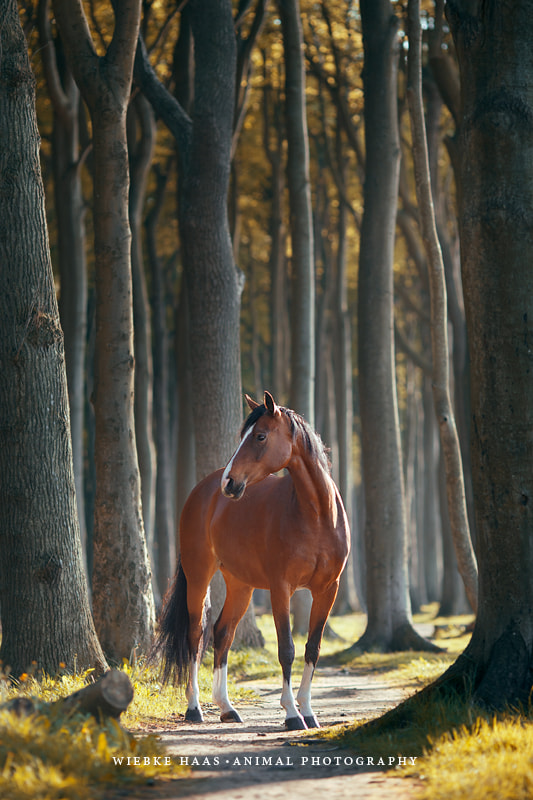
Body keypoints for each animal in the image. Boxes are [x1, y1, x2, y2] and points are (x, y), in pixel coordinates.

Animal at [153, 390, 350, 728]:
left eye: (260, 436)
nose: (229, 483)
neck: (318, 517)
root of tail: (202, 490)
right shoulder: (281, 588)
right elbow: (286, 649)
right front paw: (292, 713)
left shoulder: (328, 590)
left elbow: (312, 648)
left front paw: (309, 712)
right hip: (198, 575)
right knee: (195, 635)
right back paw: (194, 708)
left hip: (241, 585)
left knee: (222, 633)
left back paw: (227, 708)